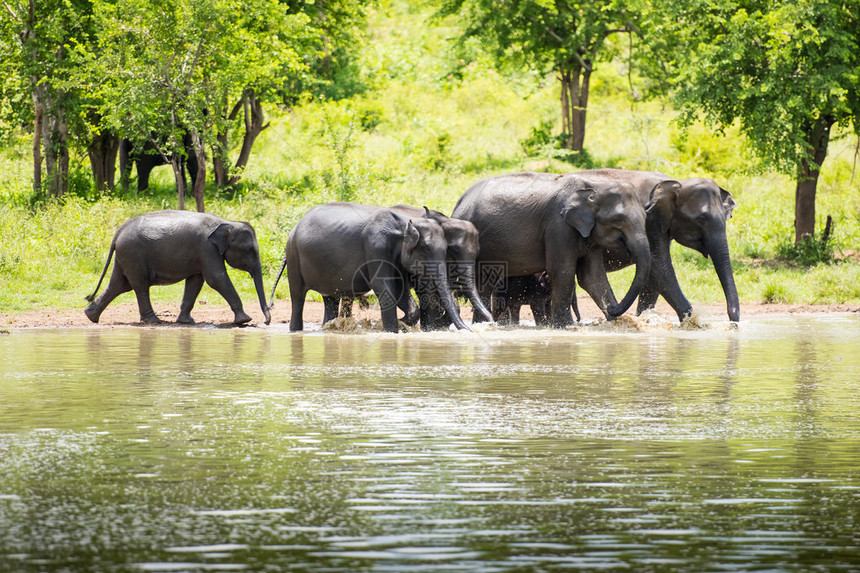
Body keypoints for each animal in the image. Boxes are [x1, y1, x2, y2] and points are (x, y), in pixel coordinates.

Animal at [84, 210, 270, 326]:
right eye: (248, 250)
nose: (267, 321)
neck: (226, 222)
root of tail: (118, 232)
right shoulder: (206, 248)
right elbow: (216, 278)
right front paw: (244, 320)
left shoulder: (201, 253)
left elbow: (196, 281)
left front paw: (186, 322)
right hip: (133, 254)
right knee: (139, 286)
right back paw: (154, 321)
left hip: (126, 256)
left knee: (120, 285)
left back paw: (90, 316)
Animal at [270, 202, 466, 332]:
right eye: (425, 249)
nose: (467, 330)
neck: (405, 223)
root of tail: (294, 227)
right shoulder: (376, 247)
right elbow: (384, 287)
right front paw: (392, 330)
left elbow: (399, 288)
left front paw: (401, 323)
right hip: (294, 255)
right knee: (297, 297)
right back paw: (296, 331)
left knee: (330, 299)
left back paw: (328, 328)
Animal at [450, 171, 660, 326]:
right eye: (618, 220)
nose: (612, 309)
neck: (594, 186)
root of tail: (458, 203)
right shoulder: (558, 226)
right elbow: (562, 271)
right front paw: (564, 326)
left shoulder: (587, 234)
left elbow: (592, 277)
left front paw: (617, 322)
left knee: (485, 282)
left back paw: (482, 323)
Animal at [576, 169, 744, 322]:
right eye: (702, 219)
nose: (733, 325)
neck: (678, 183)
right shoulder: (650, 220)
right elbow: (659, 268)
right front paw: (691, 322)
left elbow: (652, 275)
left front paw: (645, 318)